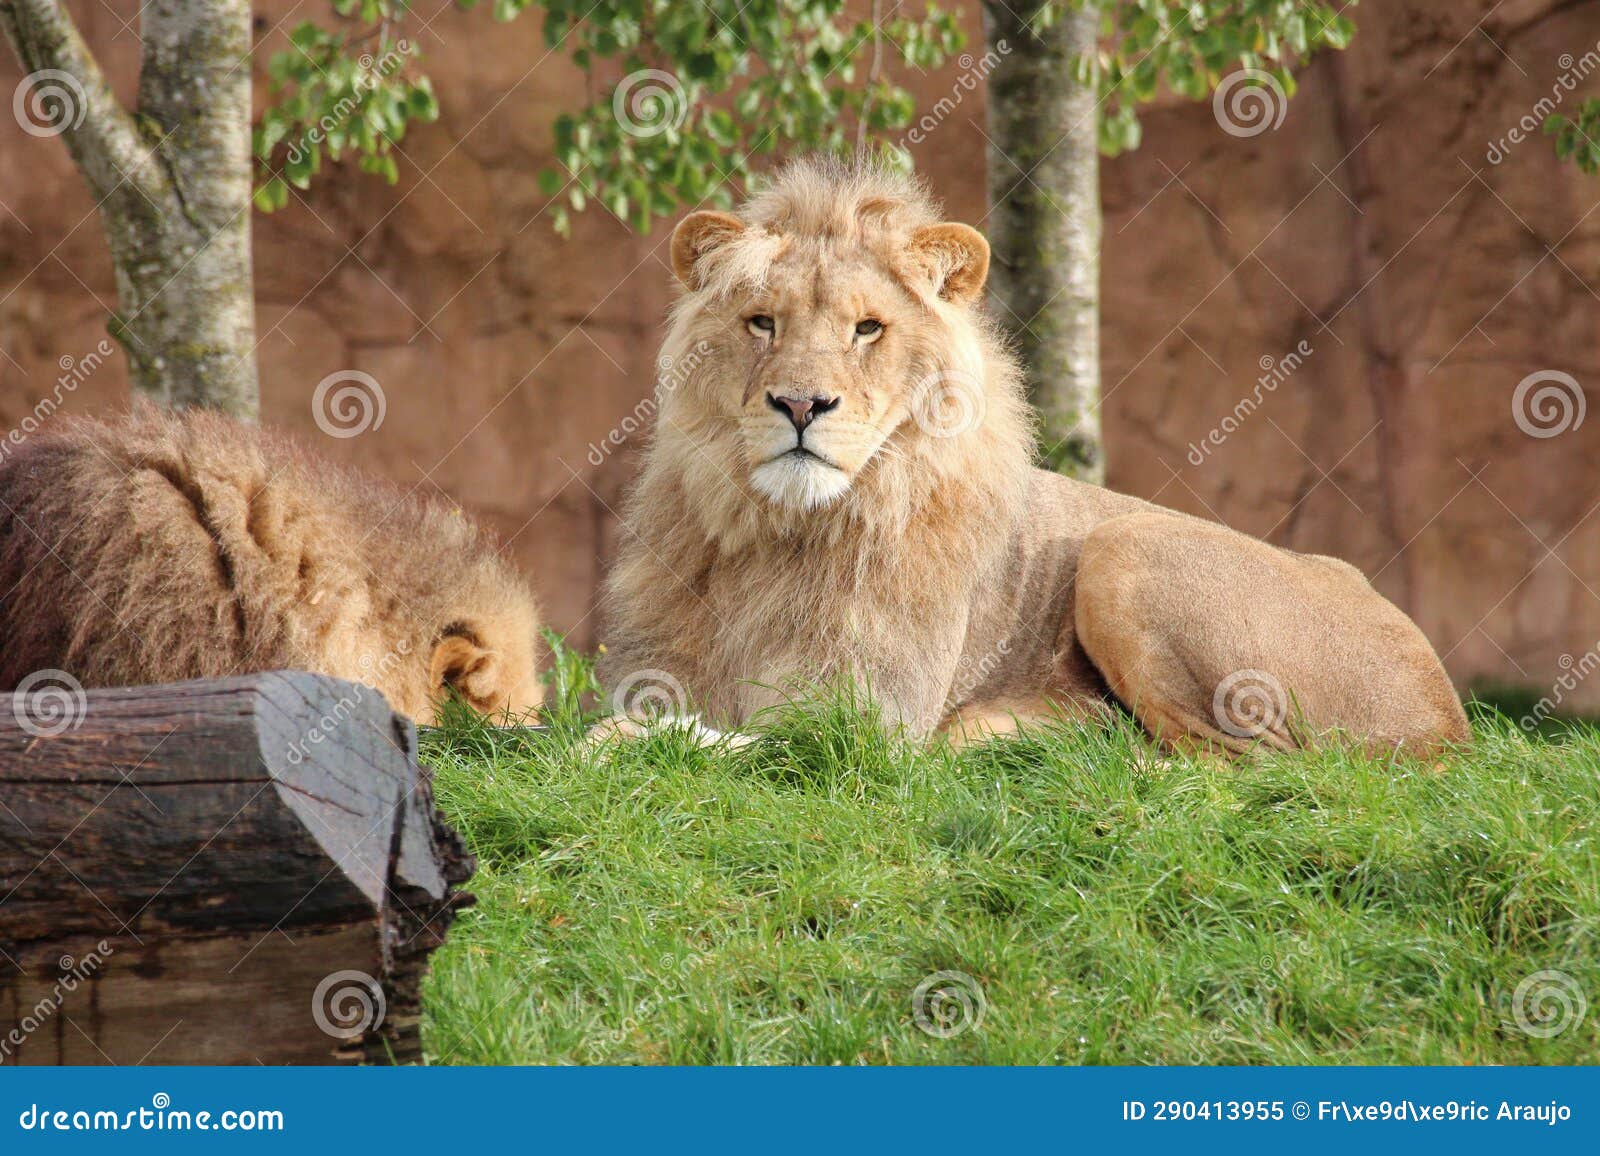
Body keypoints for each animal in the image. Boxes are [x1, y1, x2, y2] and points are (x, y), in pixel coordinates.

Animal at [595, 157, 1469, 755]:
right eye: (762, 323)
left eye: (867, 328)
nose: (801, 405)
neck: (776, 532)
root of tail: (1449, 721)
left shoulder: (866, 722)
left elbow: (700, 742)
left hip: (1129, 545)